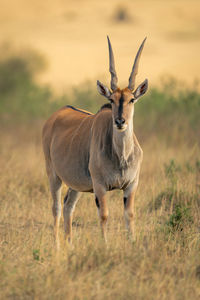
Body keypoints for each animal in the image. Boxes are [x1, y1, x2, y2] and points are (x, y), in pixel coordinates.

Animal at [42, 35, 148, 248]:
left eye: (132, 99)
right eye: (112, 99)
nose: (120, 121)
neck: (121, 156)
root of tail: (55, 116)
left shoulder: (131, 185)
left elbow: (129, 215)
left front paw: (132, 244)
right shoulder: (100, 186)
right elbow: (104, 215)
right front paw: (105, 246)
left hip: (75, 184)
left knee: (68, 206)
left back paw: (70, 246)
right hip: (54, 176)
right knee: (56, 208)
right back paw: (57, 247)